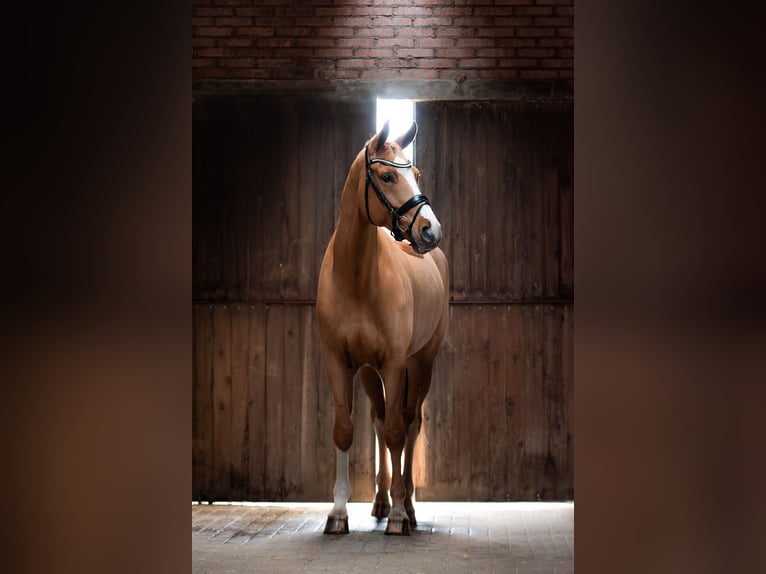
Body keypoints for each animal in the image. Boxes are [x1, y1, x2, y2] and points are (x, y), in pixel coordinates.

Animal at [318, 119, 450, 536]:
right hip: (368, 372)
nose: (430, 230)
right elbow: (345, 430)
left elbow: (397, 430)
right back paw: (380, 501)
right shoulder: (340, 363)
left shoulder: (394, 362)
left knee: (409, 424)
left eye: (417, 174)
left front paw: (399, 516)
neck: (357, 280)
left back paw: (406, 506)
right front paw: (338, 513)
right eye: (388, 176)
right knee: (379, 420)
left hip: (421, 363)